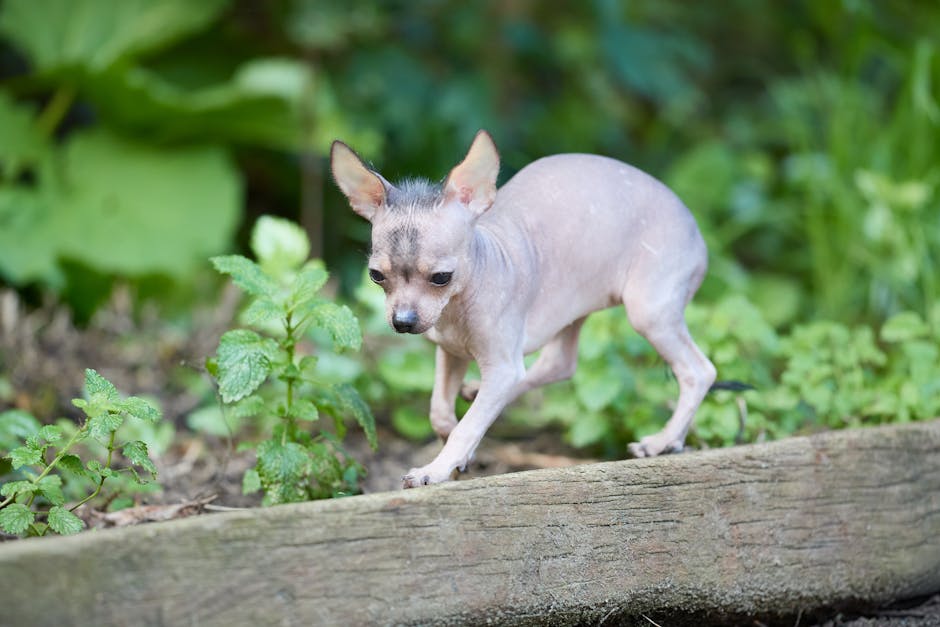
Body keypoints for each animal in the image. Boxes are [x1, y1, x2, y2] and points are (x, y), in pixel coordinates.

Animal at [331, 131, 717, 488]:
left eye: (441, 277)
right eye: (376, 275)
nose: (403, 322)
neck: (457, 307)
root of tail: (697, 233)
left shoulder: (499, 364)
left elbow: (468, 425)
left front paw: (436, 469)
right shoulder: (449, 351)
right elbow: (441, 413)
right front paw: (452, 452)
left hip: (647, 311)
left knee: (699, 371)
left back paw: (664, 441)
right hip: (573, 305)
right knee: (558, 364)